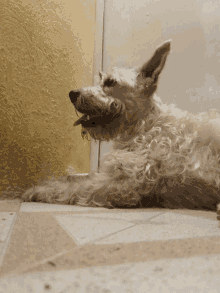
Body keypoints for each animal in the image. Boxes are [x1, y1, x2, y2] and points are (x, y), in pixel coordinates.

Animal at [22, 40, 220, 210]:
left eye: (110, 82)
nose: (72, 94)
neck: (144, 125)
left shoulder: (124, 182)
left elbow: (77, 187)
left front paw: (39, 190)